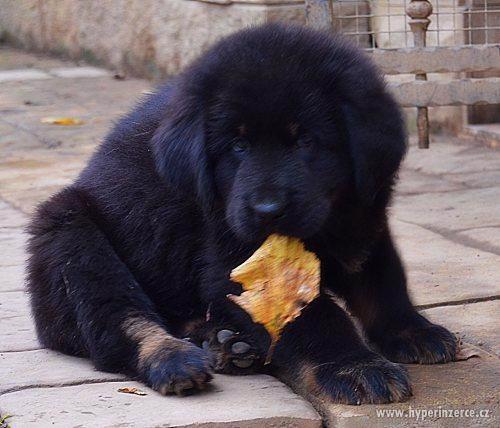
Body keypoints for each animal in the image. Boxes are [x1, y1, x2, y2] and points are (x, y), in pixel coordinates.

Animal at [27, 24, 458, 404]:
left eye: (304, 140)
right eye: (238, 146)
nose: (267, 210)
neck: (326, 226)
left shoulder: (363, 223)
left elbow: (384, 283)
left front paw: (412, 331)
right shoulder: (236, 258)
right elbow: (315, 315)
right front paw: (355, 367)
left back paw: (225, 342)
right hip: (69, 234)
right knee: (118, 321)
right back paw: (176, 358)